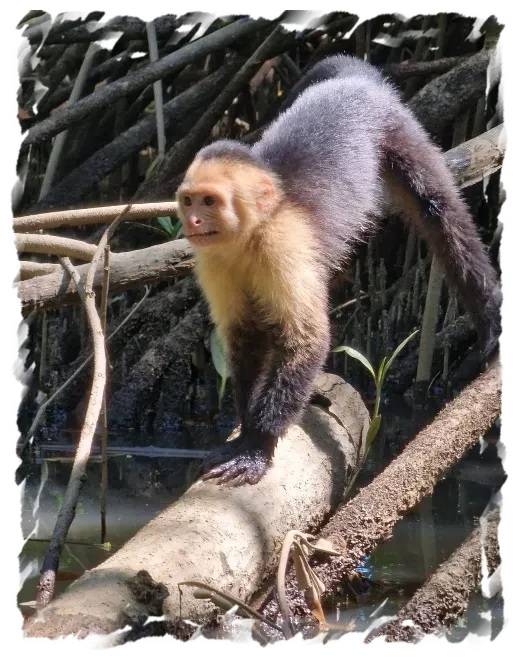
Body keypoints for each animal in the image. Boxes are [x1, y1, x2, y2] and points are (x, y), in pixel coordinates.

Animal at [177, 55, 502, 484]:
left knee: (439, 213)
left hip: (396, 125)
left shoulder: (284, 245)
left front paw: (255, 448)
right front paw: (243, 430)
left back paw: (489, 321)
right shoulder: (213, 261)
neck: (250, 236)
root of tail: (351, 80)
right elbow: (244, 336)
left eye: (210, 202)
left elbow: (307, 340)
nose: (194, 221)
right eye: (189, 201)